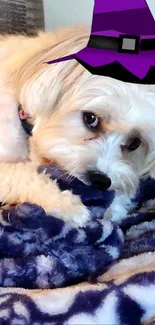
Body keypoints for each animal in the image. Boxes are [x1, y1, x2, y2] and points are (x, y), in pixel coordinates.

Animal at [0, 25, 154, 225]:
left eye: (134, 143)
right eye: (91, 118)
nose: (101, 181)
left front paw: (115, 207)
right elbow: (22, 173)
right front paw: (66, 205)